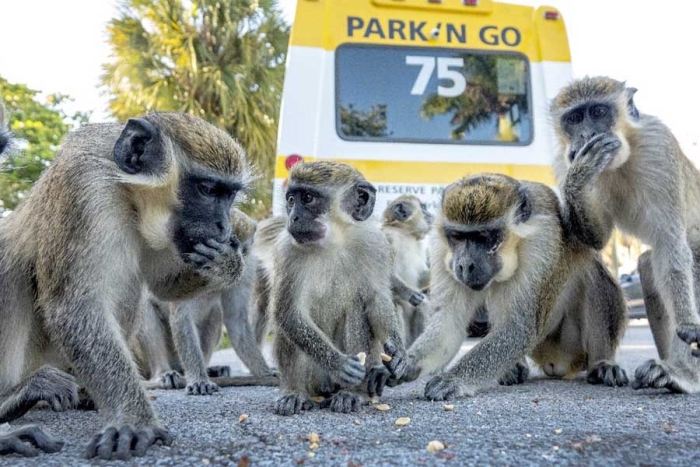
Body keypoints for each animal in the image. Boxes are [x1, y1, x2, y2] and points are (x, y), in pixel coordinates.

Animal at [0, 113, 252, 460]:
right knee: (10, 262)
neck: (128, 196)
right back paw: (16, 398)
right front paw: (135, 420)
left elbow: (163, 287)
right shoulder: (85, 187)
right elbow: (75, 306)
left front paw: (227, 261)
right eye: (207, 189)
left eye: (228, 195)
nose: (224, 226)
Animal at [135, 208, 278, 394]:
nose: (230, 265)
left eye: (242, 250)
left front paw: (264, 372)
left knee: (215, 313)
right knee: (145, 308)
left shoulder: (247, 268)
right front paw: (198, 379)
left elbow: (235, 319)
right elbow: (182, 318)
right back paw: (164, 372)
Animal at [270, 163, 408, 414]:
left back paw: (352, 393)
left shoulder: (375, 244)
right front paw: (338, 363)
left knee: (356, 309)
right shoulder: (286, 252)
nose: (293, 218)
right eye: (291, 200)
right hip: (314, 379)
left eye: (308, 198)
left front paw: (399, 353)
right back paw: (294, 392)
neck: (333, 242)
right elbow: (289, 313)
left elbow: (377, 299)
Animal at [370, 174, 628, 400]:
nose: (464, 265)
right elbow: (449, 320)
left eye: (483, 237)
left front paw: (455, 379)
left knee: (592, 275)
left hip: (569, 346)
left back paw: (602, 363)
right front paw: (408, 362)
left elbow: (519, 327)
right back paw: (514, 369)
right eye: (457, 236)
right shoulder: (442, 248)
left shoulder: (541, 243)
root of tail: (557, 364)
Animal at [556, 77, 700, 394]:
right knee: (648, 265)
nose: (586, 135)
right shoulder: (563, 160)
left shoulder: (660, 148)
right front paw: (581, 173)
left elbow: (670, 244)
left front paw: (688, 325)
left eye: (598, 112)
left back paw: (682, 375)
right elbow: (597, 239)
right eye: (574, 118)